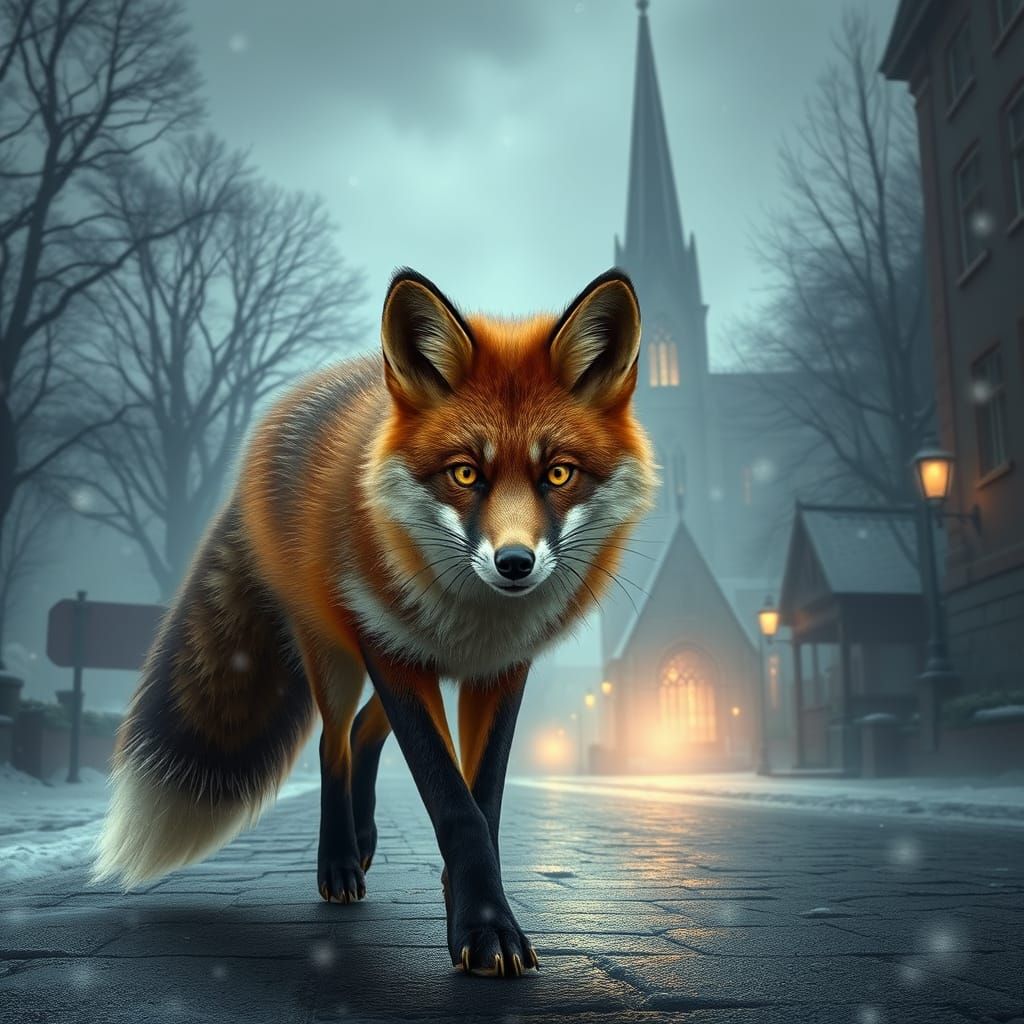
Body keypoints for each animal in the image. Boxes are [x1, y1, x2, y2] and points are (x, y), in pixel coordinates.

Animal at [93, 267, 657, 978]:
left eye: (558, 473)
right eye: (465, 473)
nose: (514, 564)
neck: (476, 623)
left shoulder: (499, 671)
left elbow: (484, 804)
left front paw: (472, 906)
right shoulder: (392, 652)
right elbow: (454, 805)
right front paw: (484, 928)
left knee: (365, 730)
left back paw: (362, 839)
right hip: (342, 655)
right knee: (334, 742)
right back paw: (339, 860)